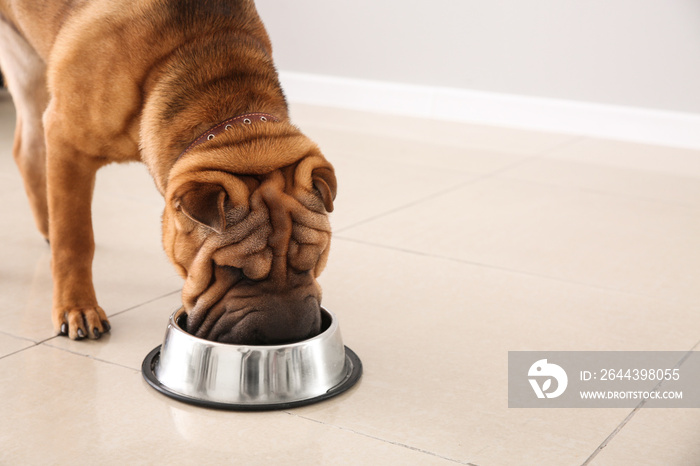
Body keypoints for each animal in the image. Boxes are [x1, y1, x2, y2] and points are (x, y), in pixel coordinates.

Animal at [0, 0, 340, 342]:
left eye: (315, 260)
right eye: (233, 271)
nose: (286, 334)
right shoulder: (67, 143)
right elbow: (75, 239)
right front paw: (78, 308)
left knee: (27, 151)